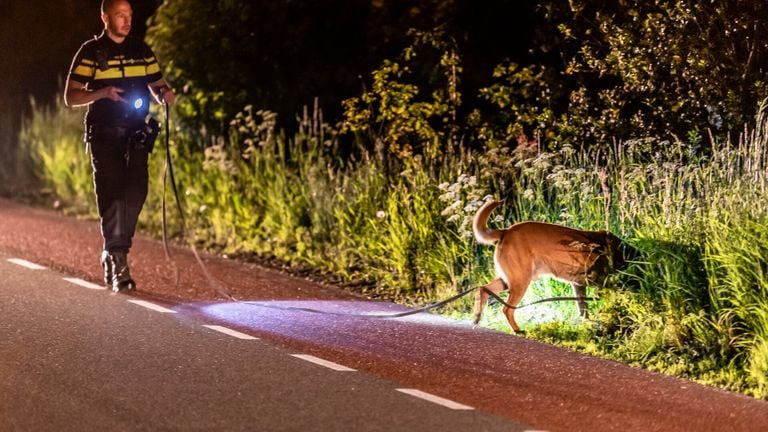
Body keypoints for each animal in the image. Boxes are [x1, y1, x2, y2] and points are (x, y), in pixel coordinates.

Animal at [472, 201, 632, 332]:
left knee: (482, 289)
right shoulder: (601, 283)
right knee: (506, 309)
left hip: (508, 281)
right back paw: (517, 330)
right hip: (521, 282)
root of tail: (505, 231)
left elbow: (584, 310)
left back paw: (477, 318)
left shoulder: (579, 286)